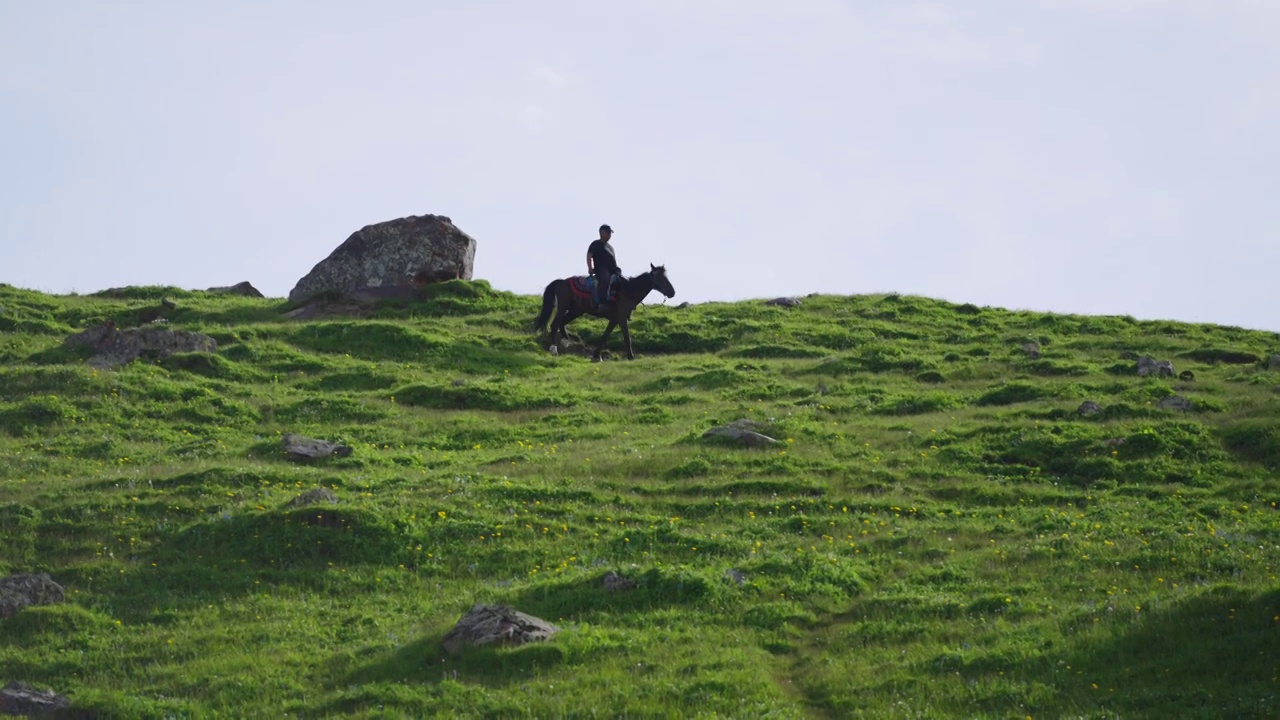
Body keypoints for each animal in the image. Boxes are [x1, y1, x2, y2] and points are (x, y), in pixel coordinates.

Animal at [532, 265, 680, 361]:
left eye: (666, 276)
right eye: (660, 278)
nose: (672, 292)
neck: (628, 290)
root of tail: (561, 282)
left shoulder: (614, 319)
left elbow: (605, 336)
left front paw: (596, 355)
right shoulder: (621, 318)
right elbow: (627, 337)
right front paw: (631, 356)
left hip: (577, 310)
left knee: (562, 323)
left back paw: (569, 341)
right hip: (563, 307)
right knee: (555, 324)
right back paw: (554, 349)